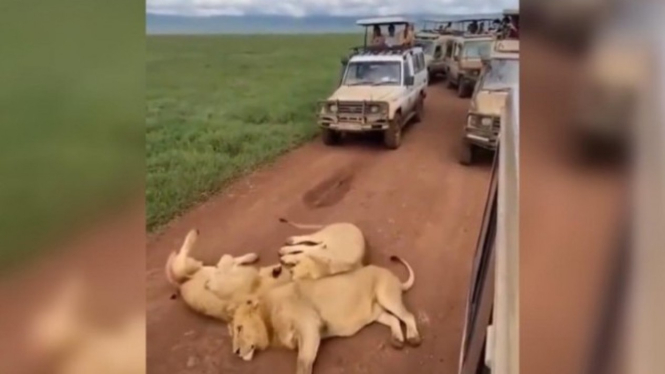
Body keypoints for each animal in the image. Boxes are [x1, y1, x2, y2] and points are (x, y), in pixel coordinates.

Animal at [222, 256, 420, 372]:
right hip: (375, 313)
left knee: (408, 316)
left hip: (386, 296)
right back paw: (397, 339)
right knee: (393, 318)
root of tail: (393, 277)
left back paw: (413, 338)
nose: (236, 352)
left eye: (239, 328)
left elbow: (302, 363)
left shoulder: (309, 324)